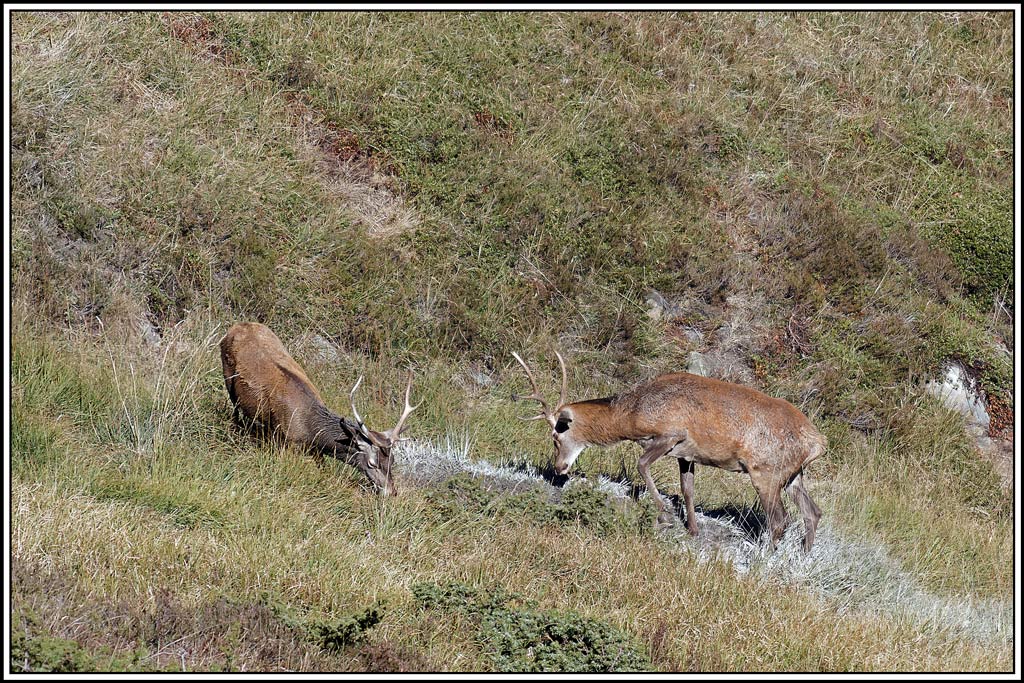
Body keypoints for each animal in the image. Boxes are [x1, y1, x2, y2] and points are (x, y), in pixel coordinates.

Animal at [220, 322, 420, 496]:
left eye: (392, 460)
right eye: (372, 463)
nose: (392, 492)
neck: (310, 430)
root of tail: (237, 326)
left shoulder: (315, 451)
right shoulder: (284, 440)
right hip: (227, 375)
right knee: (235, 410)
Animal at [511, 352, 826, 551]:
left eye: (556, 435)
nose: (559, 468)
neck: (634, 415)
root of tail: (817, 443)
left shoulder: (671, 433)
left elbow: (641, 464)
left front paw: (663, 514)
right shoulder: (687, 455)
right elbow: (688, 489)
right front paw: (693, 529)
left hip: (766, 471)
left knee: (780, 520)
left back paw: (765, 559)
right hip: (793, 474)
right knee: (813, 512)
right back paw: (803, 557)